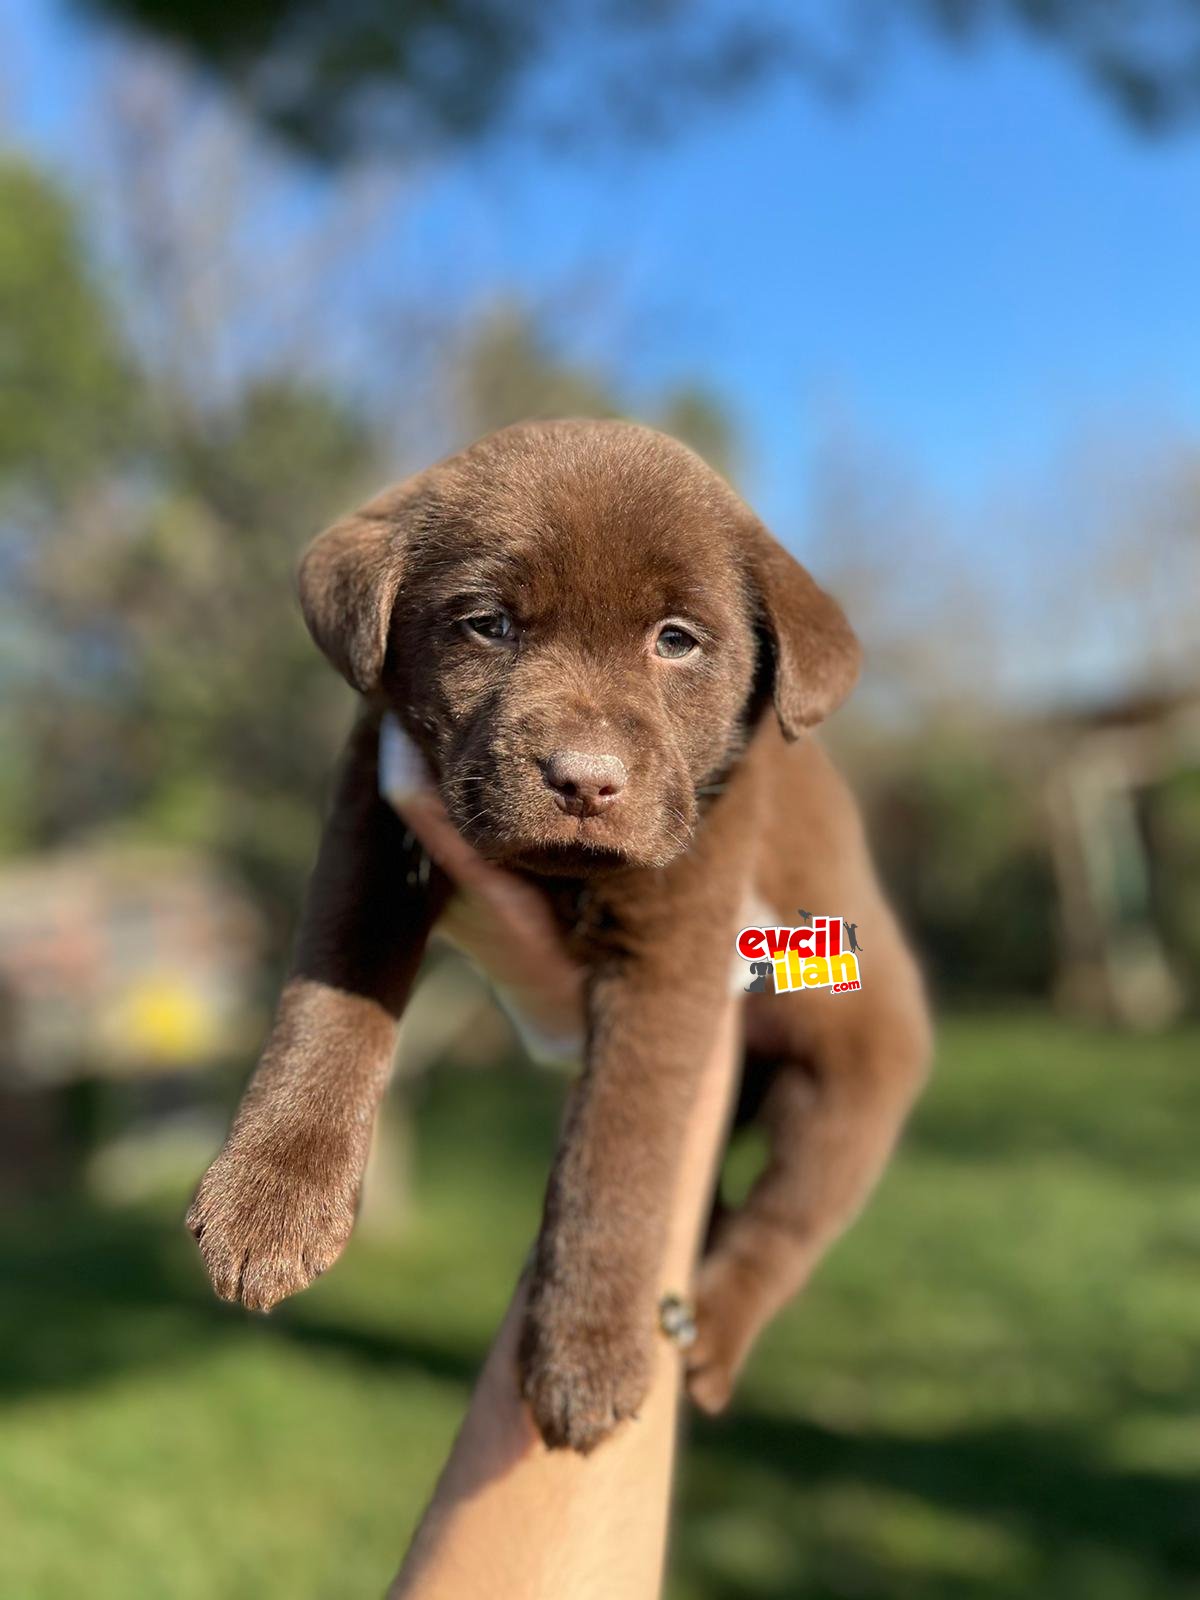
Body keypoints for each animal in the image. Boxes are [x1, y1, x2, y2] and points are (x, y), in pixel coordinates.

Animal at [190, 419, 940, 1459]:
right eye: (488, 624)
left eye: (676, 640)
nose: (584, 780)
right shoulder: (372, 822)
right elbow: (330, 1001)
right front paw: (269, 1201)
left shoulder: (679, 933)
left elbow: (618, 1149)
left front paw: (587, 1348)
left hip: (855, 1075)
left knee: (789, 1216)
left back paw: (710, 1334)